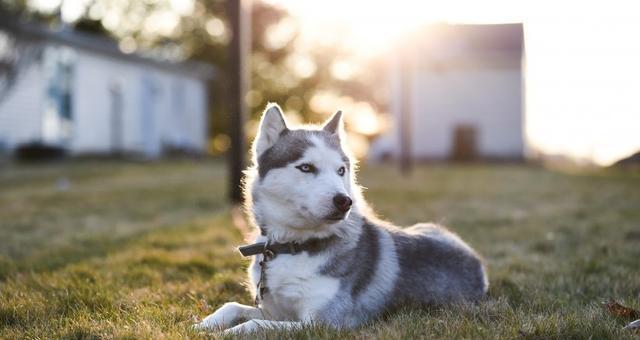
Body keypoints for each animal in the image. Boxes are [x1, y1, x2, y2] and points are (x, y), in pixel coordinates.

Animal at [192, 104, 488, 334]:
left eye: (341, 170)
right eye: (306, 167)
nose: (344, 201)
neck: (293, 246)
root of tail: (476, 262)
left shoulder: (324, 323)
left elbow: (254, 325)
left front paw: (226, 334)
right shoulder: (276, 311)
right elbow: (231, 307)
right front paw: (201, 326)